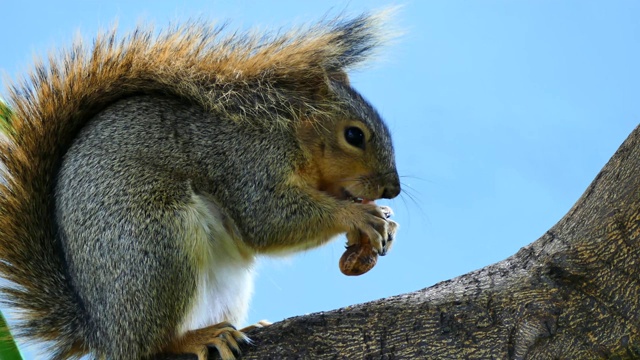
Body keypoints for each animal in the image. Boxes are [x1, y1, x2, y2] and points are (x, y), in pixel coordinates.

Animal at [0, 9, 400, 360]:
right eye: (354, 135)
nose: (392, 190)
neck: (288, 133)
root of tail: (106, 333)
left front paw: (383, 219)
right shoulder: (247, 165)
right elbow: (268, 222)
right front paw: (357, 216)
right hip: (158, 245)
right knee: (151, 346)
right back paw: (197, 338)